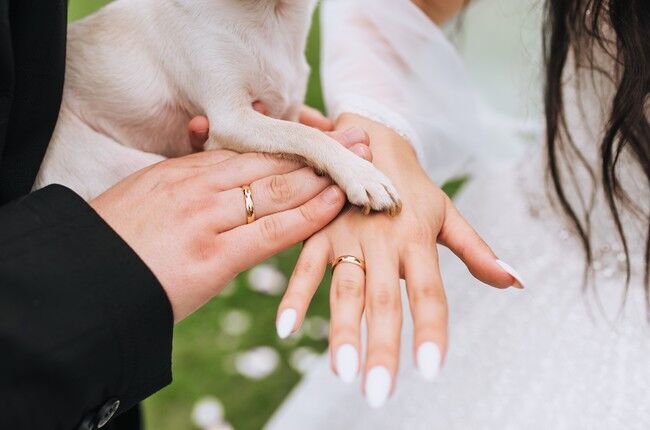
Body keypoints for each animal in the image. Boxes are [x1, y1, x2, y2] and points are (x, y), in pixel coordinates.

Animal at [38, 0, 400, 215]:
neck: (270, 15)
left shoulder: (284, 109)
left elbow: (297, 131)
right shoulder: (233, 119)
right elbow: (306, 135)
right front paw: (359, 172)